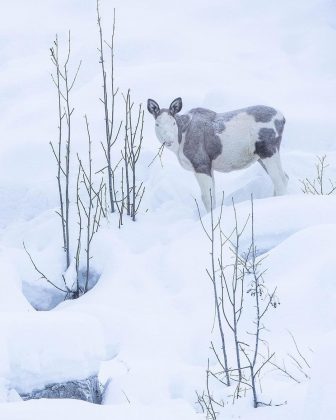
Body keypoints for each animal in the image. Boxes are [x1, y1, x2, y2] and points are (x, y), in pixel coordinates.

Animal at [148, 97, 288, 212]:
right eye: (157, 124)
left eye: (173, 123)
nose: (168, 141)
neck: (180, 142)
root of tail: (282, 118)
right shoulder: (209, 166)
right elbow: (212, 196)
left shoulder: (201, 163)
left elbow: (206, 198)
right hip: (264, 155)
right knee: (285, 177)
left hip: (267, 150)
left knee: (279, 181)